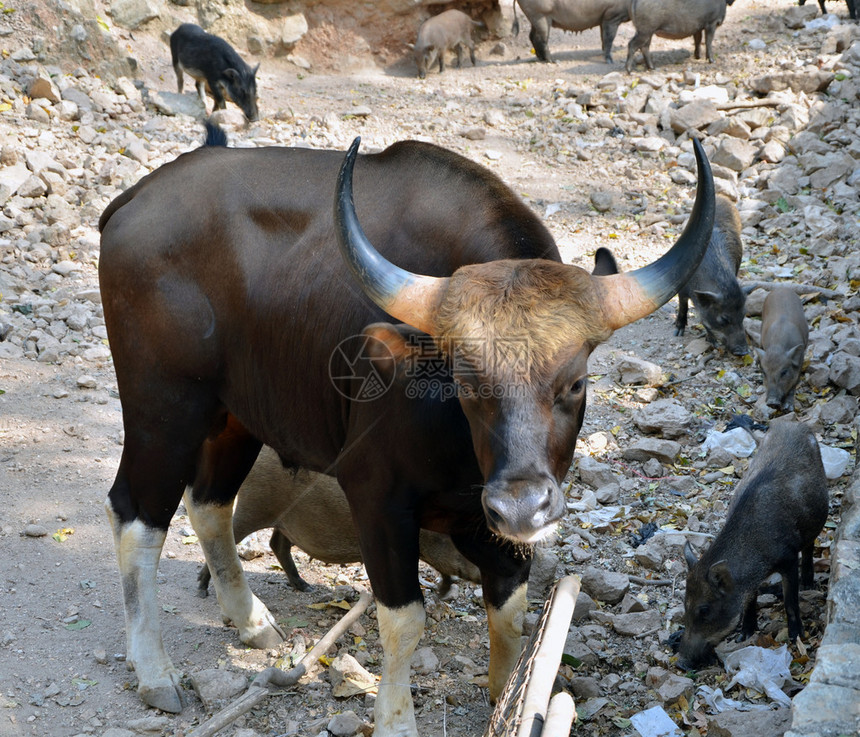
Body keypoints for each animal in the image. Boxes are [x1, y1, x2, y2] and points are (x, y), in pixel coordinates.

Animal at [97, 125, 716, 732]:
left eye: (575, 382)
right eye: (465, 381)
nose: (522, 507)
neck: (462, 453)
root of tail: (133, 203)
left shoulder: (488, 524)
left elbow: (511, 607)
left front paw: (506, 697)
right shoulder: (377, 496)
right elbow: (403, 618)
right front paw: (396, 719)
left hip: (238, 416)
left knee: (209, 503)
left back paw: (251, 622)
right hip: (163, 410)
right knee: (136, 515)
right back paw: (154, 670)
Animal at [672, 194, 744, 356]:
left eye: (743, 316)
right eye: (724, 319)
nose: (743, 352)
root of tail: (721, 197)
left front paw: (712, 341)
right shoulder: (682, 287)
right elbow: (684, 305)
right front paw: (677, 332)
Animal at [680, 416, 828, 668]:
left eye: (704, 610)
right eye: (684, 604)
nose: (681, 662)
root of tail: (793, 422)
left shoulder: (788, 558)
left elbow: (790, 601)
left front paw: (796, 637)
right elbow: (749, 599)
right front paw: (745, 635)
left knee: (810, 546)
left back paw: (809, 584)